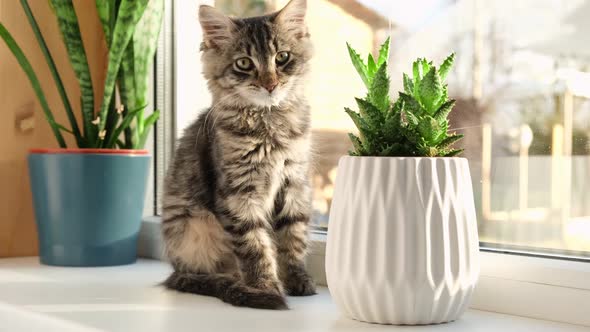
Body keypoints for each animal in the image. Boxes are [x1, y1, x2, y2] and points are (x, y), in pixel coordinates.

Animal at [162, 0, 316, 312]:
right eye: (244, 63)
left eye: (282, 58)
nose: (270, 84)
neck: (269, 125)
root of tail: (174, 269)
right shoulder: (239, 194)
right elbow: (255, 247)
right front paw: (265, 287)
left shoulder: (294, 183)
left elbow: (292, 238)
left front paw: (297, 280)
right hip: (193, 230)